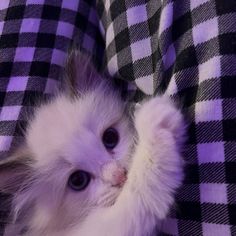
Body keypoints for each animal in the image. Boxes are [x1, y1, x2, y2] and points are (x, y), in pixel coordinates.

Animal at [0, 50, 185, 235]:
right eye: (78, 180)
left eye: (110, 138)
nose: (119, 176)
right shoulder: (104, 227)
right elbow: (137, 192)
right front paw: (152, 118)